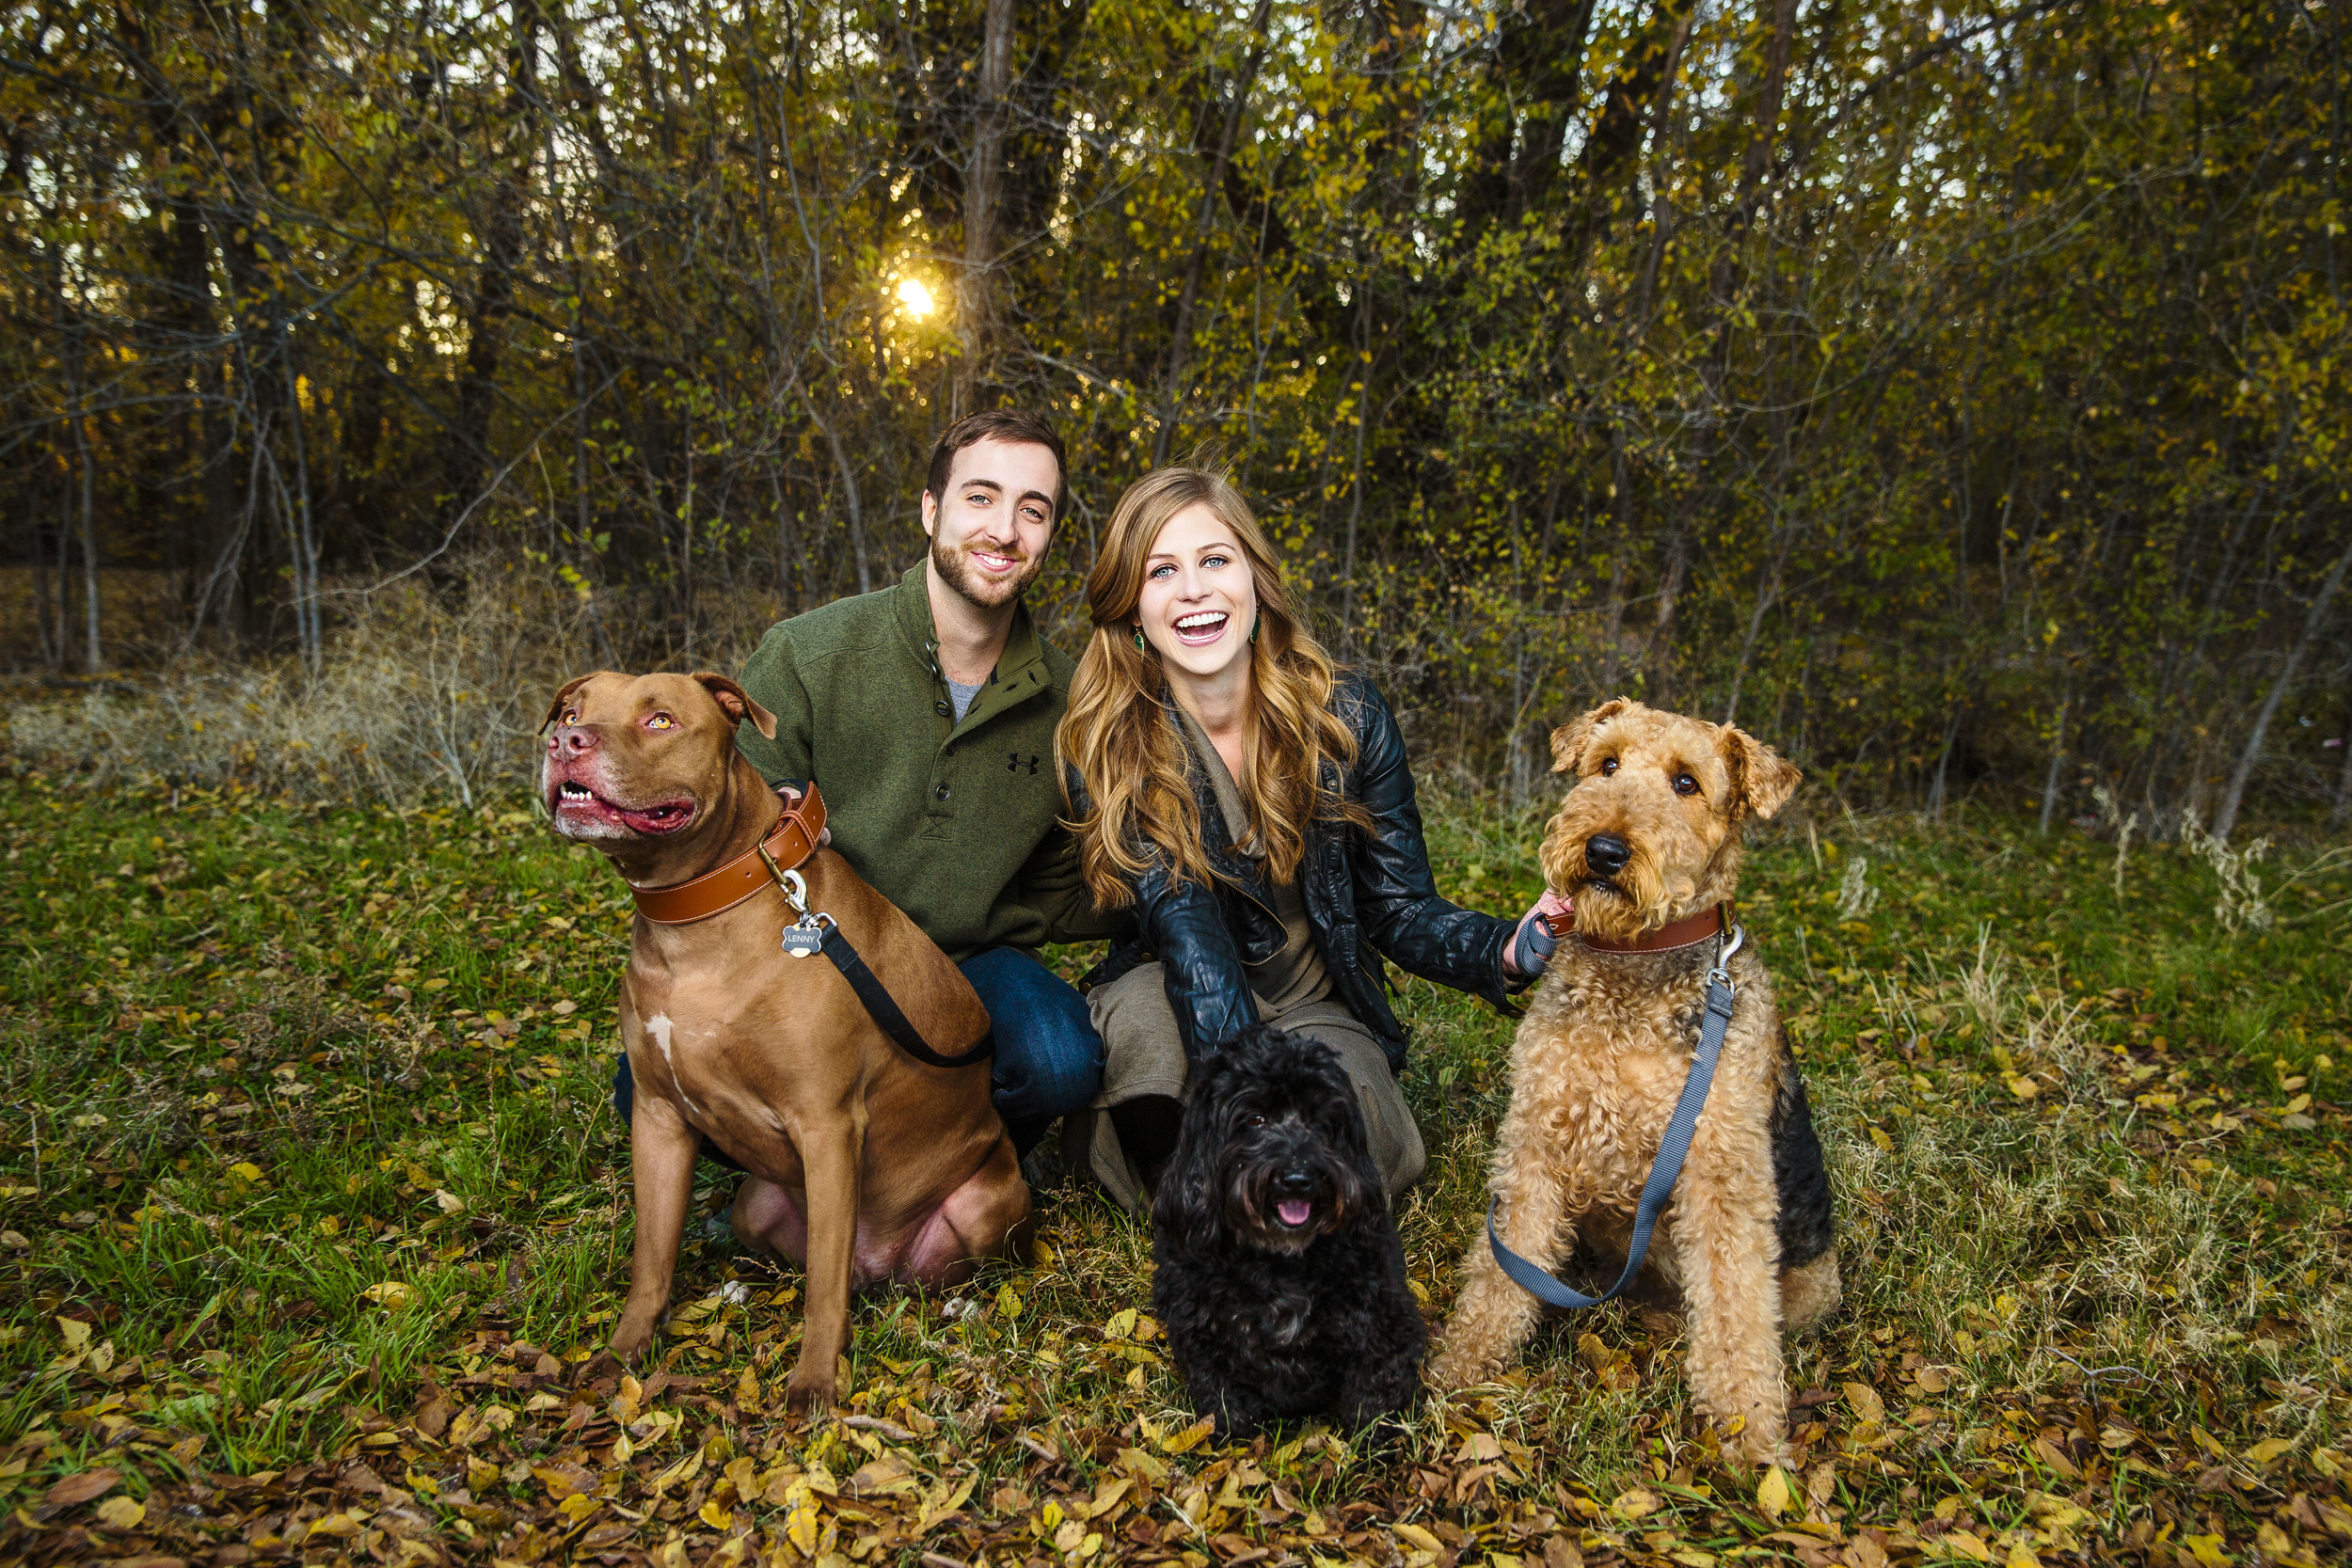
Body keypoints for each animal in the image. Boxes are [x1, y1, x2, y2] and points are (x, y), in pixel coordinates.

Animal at [550, 672, 1040, 1410]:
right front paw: (621, 1354)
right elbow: (651, 1258)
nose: (565, 742)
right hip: (756, 1201)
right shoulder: (659, 1119)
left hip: (985, 1204)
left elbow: (824, 1288)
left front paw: (815, 1382)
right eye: (572, 712)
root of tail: (880, 1265)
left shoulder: (828, 1124)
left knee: (920, 1274)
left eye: (661, 720)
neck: (696, 919)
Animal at [1148, 1024, 1421, 1438]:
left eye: (1319, 1118)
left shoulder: (1383, 1320)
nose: (1297, 1179)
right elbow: (1221, 1394)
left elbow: (1373, 1391)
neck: (1278, 1258)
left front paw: (1371, 1440)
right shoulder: (1199, 1331)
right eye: (1255, 1119)